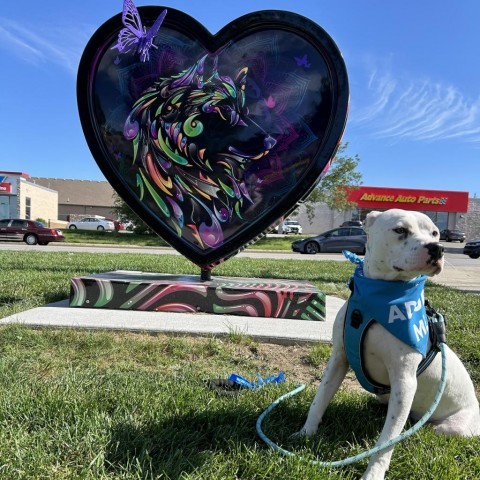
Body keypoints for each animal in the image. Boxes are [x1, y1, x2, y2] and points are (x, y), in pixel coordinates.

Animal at [298, 210, 478, 480]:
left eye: (435, 233)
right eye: (400, 230)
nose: (437, 248)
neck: (380, 298)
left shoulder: (405, 382)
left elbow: (386, 441)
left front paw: (373, 472)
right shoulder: (338, 360)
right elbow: (319, 400)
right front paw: (305, 433)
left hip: (451, 427)